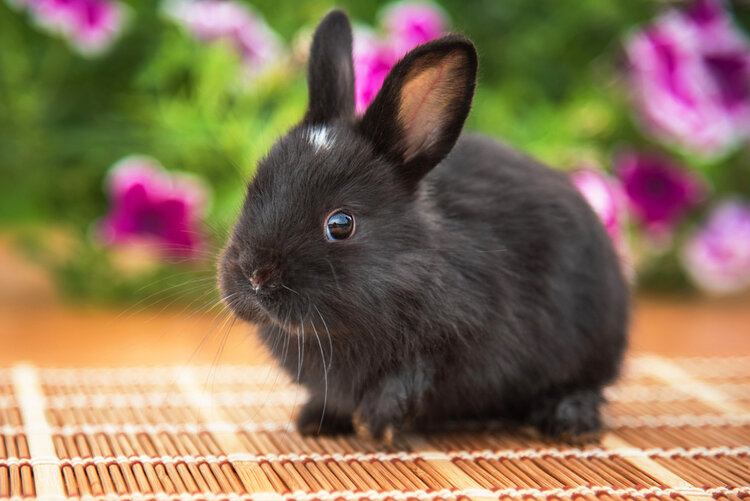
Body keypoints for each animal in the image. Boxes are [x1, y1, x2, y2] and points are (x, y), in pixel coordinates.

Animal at [218, 9, 629, 444]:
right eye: (253, 191)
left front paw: (378, 424)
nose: (256, 275)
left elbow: (410, 379)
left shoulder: (457, 341)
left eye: (340, 224)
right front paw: (316, 420)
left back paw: (568, 421)